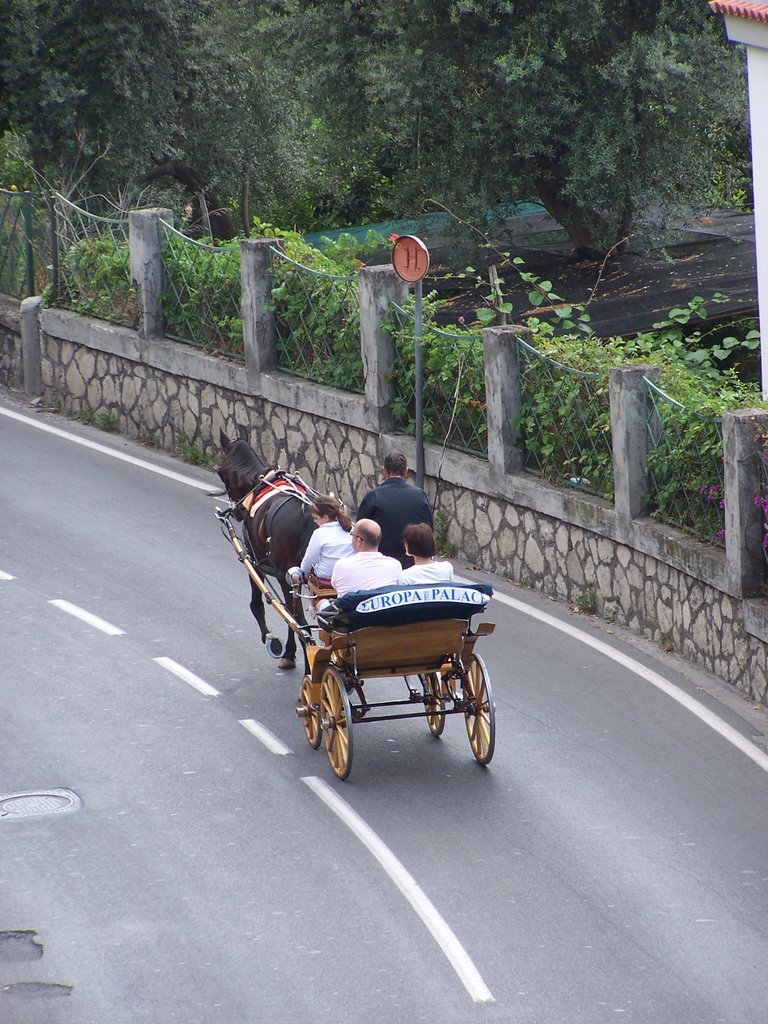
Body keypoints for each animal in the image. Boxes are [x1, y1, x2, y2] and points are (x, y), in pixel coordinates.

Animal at [215, 428, 317, 667]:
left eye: (220, 472)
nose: (238, 511)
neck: (258, 481)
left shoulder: (254, 561)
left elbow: (257, 604)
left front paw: (274, 641)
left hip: (287, 577)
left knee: (298, 620)